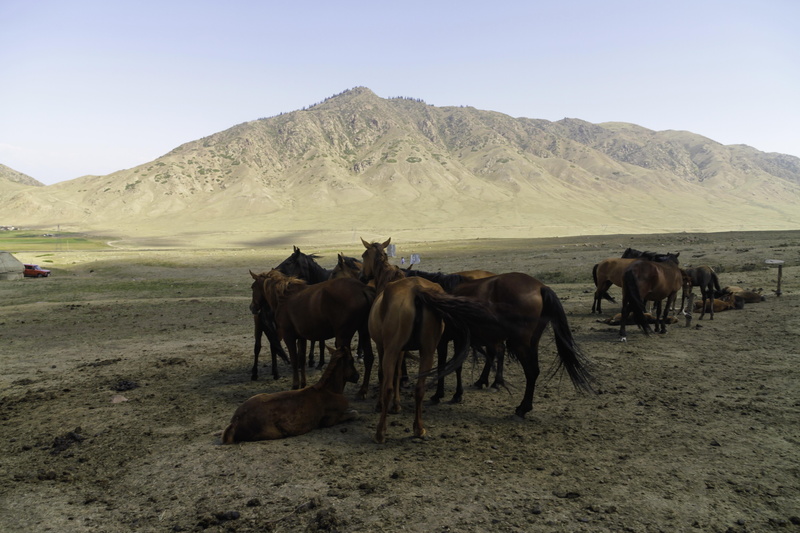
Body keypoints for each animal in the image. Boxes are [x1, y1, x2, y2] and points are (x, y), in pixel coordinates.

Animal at [222, 347, 360, 443]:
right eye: (351, 360)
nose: (357, 376)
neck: (329, 390)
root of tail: (235, 423)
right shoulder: (329, 420)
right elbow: (355, 413)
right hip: (275, 433)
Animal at [361, 238, 503, 443]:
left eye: (363, 255)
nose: (362, 276)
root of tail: (417, 291)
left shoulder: (385, 347)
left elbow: (384, 375)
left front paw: (383, 405)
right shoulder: (405, 349)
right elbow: (399, 373)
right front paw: (397, 405)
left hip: (395, 350)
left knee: (388, 386)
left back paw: (381, 432)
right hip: (428, 350)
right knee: (420, 389)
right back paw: (419, 428)